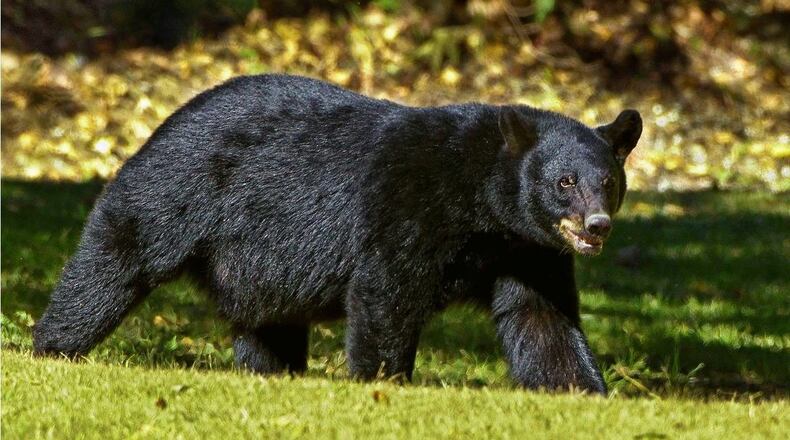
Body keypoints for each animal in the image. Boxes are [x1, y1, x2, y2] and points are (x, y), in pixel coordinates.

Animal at [33, 74, 642, 394]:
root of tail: (167, 118)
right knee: (116, 259)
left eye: (608, 182)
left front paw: (583, 391)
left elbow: (541, 317)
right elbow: (386, 292)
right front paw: (384, 383)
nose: (596, 225)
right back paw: (53, 346)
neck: (482, 205)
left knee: (267, 324)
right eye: (564, 182)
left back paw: (272, 373)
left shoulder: (526, 248)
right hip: (176, 189)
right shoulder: (409, 205)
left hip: (257, 264)